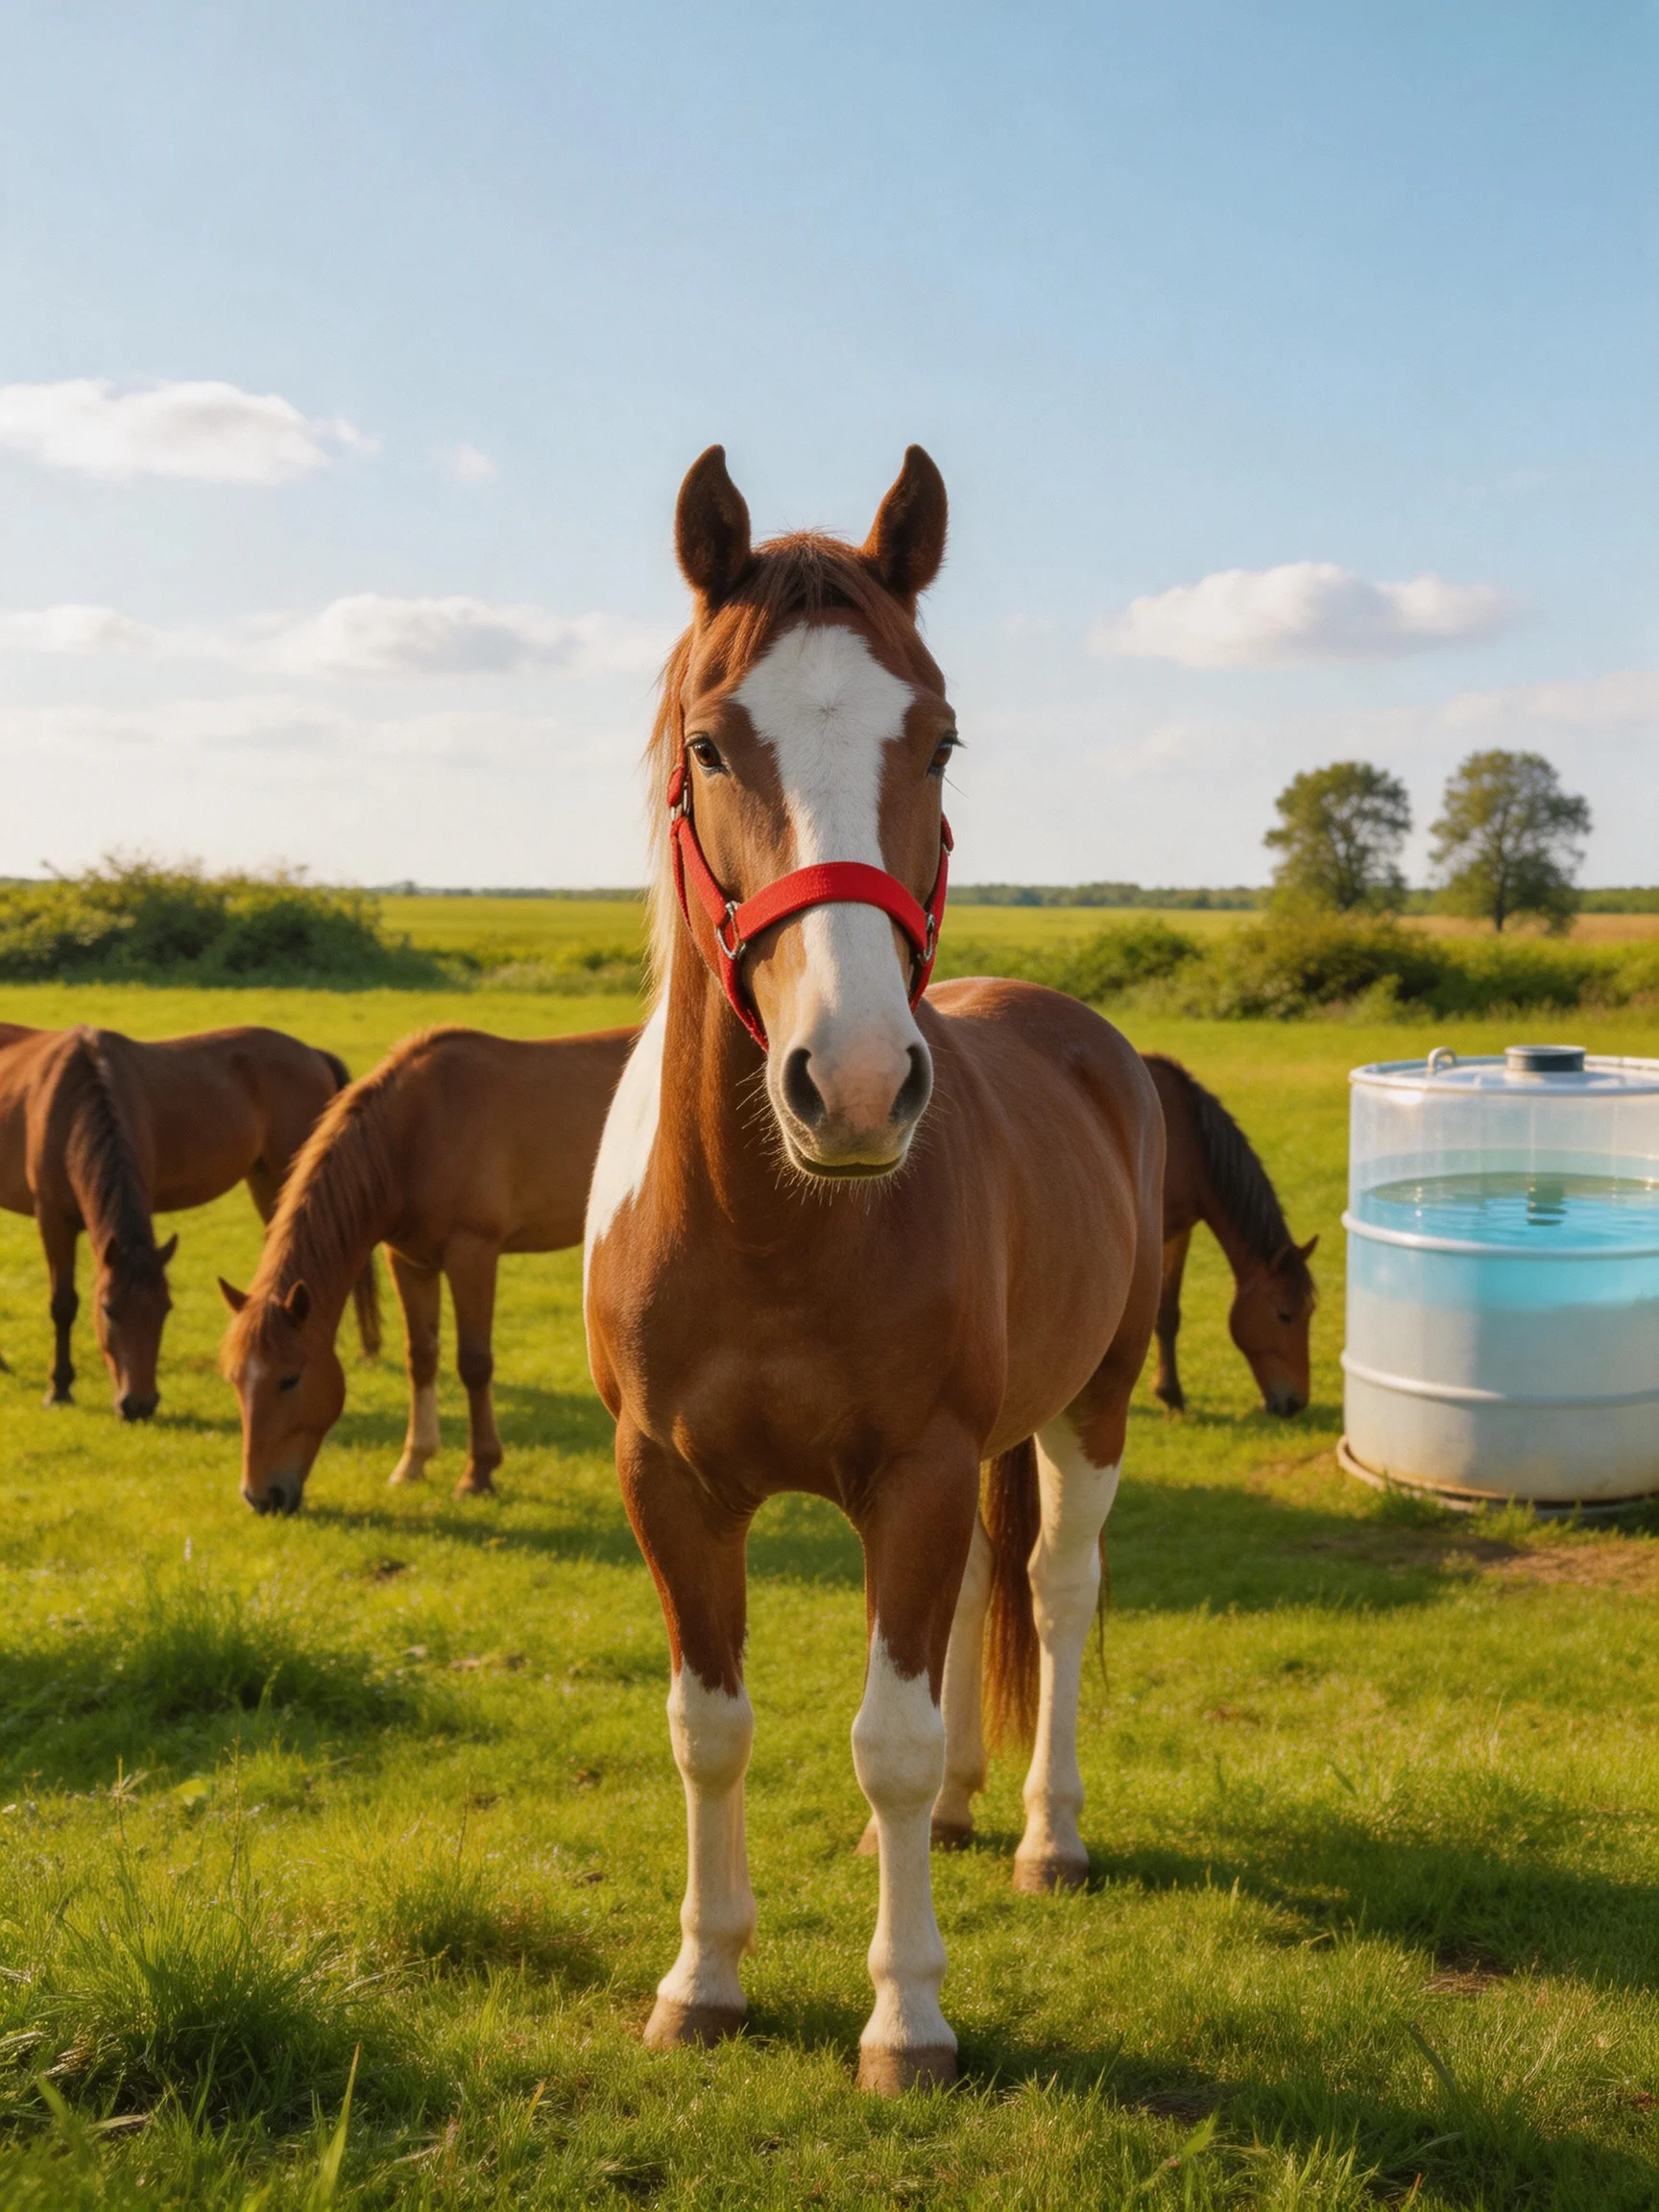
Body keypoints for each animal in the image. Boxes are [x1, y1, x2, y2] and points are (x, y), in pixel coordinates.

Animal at [0, 1023, 372, 1419]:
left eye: (165, 1310)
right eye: (109, 1311)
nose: (139, 1405)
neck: (75, 1099)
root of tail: (314, 1055)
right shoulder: (53, 1219)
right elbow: (63, 1303)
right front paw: (59, 1387)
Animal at [219, 1025, 634, 1513]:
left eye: (289, 1379)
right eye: (234, 1379)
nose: (261, 1496)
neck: (413, 1133)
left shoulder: (472, 1253)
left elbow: (474, 1363)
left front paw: (478, 1472)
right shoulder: (410, 1261)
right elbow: (421, 1357)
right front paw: (413, 1462)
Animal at [583, 446, 1164, 2095]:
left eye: (941, 739)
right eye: (712, 745)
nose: (849, 1086)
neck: (772, 1230)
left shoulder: (915, 1468)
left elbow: (884, 1739)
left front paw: (907, 2016)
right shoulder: (670, 1485)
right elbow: (709, 1729)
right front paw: (704, 1980)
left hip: (1089, 1410)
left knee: (1058, 1589)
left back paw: (1043, 1836)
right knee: (978, 1598)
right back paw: (968, 1813)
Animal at [1141, 1054, 1317, 1418]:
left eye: (1310, 1312)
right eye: (1284, 1315)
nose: (1295, 1404)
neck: (1185, 1141)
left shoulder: (1178, 1232)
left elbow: (1167, 1315)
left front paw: (1171, 1395)